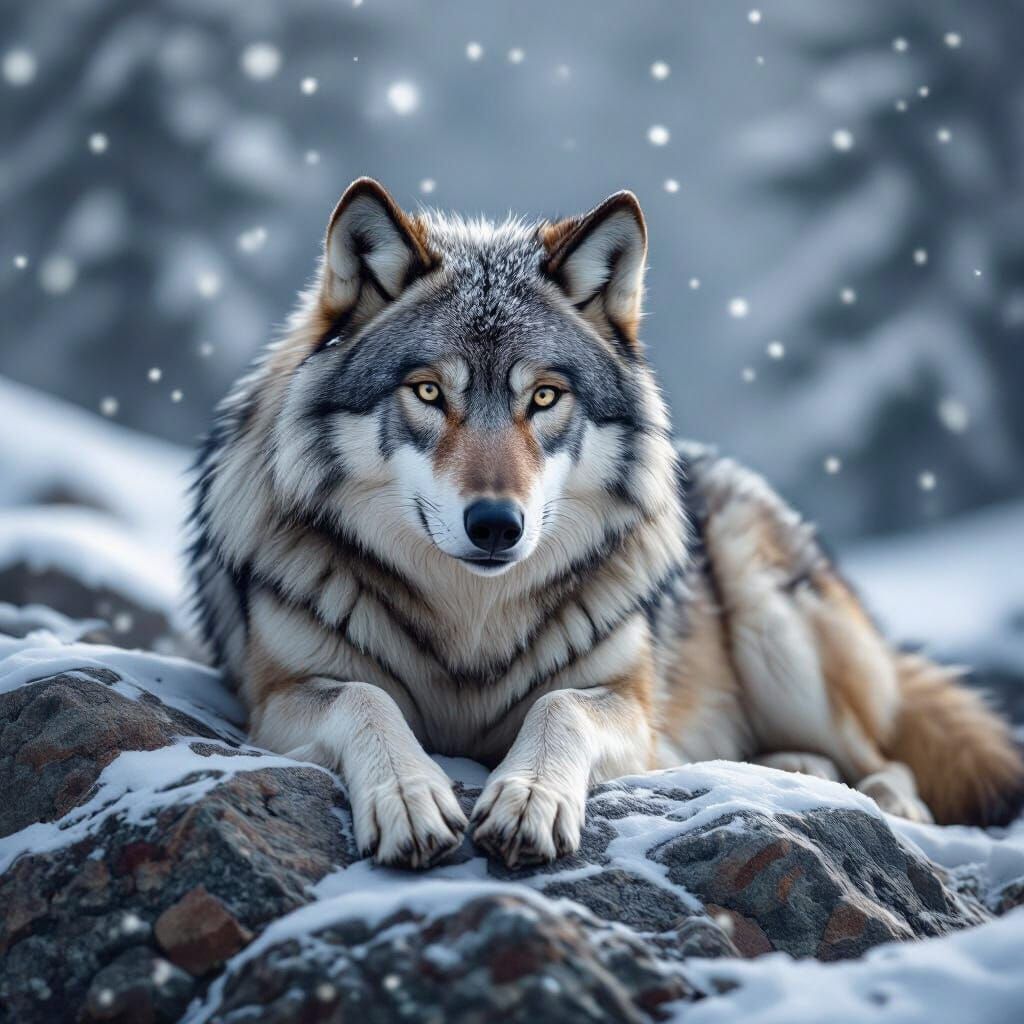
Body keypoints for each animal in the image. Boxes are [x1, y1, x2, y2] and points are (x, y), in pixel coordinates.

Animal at [188, 178, 1023, 869]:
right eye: (428, 392)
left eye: (544, 397)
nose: (496, 525)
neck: (469, 625)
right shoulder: (275, 696)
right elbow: (367, 697)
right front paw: (410, 796)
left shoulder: (628, 703)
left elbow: (559, 706)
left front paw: (527, 799)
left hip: (776, 629)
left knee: (887, 757)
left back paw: (880, 800)